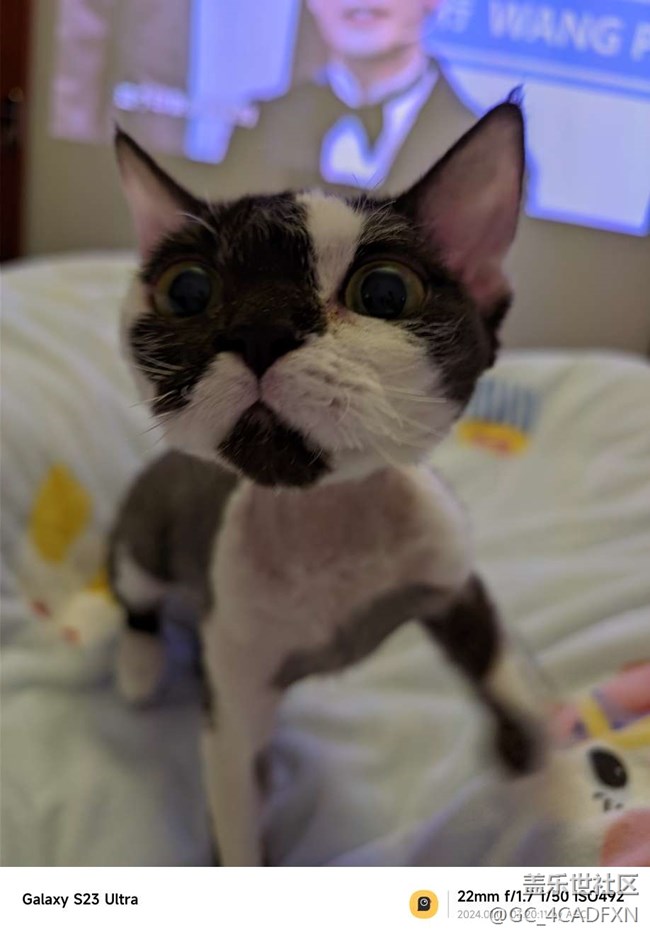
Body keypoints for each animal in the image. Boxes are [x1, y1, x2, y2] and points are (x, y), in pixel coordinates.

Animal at [110, 99, 544, 866]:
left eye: (385, 291)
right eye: (188, 289)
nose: (261, 328)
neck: (329, 524)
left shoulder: (447, 568)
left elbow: (491, 656)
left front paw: (526, 739)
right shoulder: (234, 698)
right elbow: (236, 817)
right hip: (145, 534)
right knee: (136, 593)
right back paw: (139, 662)